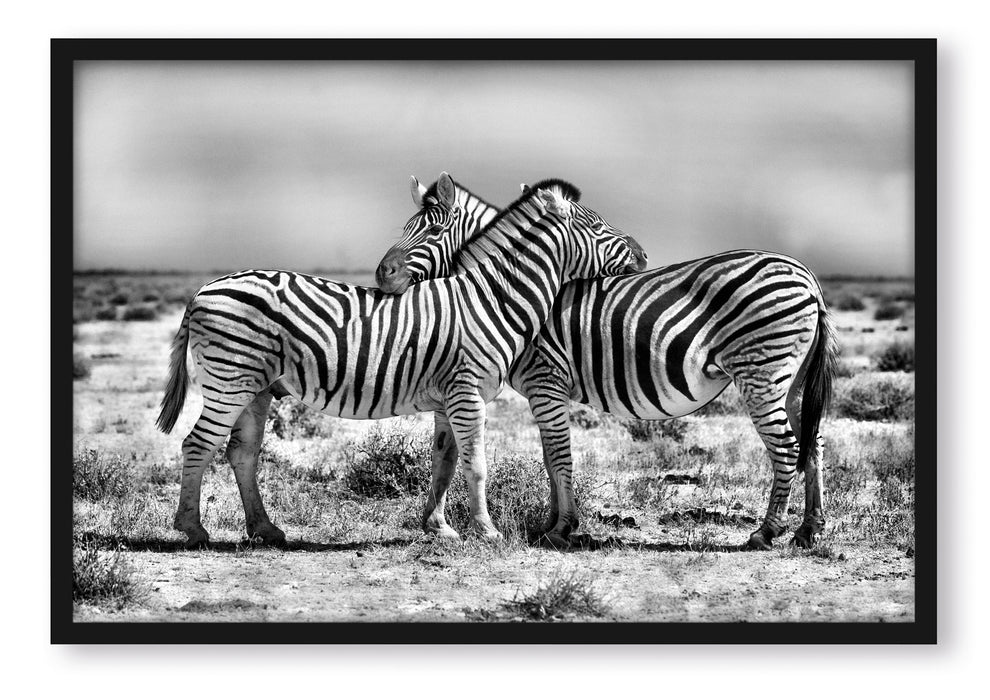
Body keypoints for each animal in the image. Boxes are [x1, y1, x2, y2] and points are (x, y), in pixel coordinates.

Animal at [156, 173, 646, 546]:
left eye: (432, 231)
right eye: (598, 228)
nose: (643, 255)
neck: (491, 298)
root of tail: (202, 290)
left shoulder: (450, 398)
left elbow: (445, 462)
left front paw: (441, 528)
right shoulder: (468, 392)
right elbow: (477, 464)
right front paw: (487, 531)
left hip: (255, 387)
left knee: (241, 452)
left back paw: (266, 529)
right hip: (230, 379)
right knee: (196, 444)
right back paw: (193, 530)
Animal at [376, 178, 838, 550]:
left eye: (432, 230)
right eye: (405, 228)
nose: (382, 275)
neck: (504, 290)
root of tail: (808, 277)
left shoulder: (546, 379)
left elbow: (558, 455)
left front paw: (561, 528)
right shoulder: (547, 390)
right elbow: (550, 457)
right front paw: (551, 524)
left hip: (760, 372)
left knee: (787, 447)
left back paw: (767, 532)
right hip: (790, 378)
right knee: (812, 443)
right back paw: (808, 531)